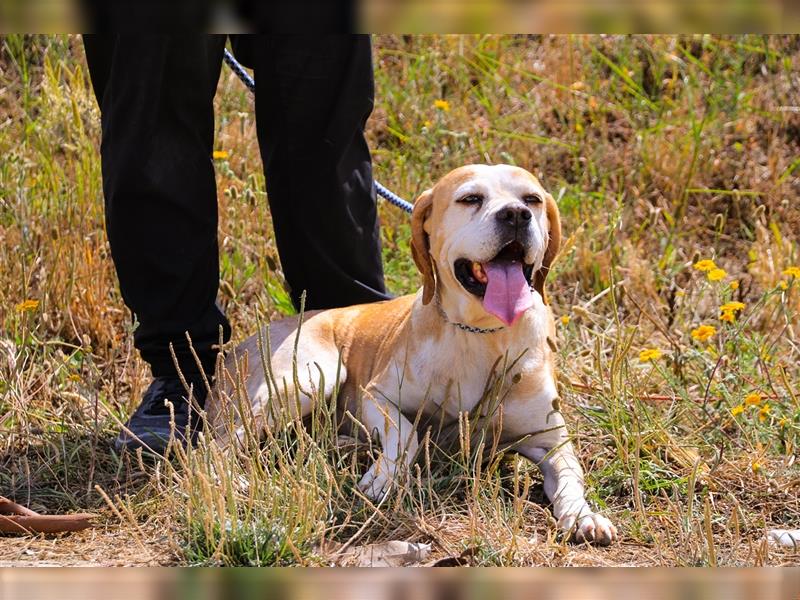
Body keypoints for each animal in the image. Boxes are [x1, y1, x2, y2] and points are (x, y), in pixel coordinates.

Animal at [208, 163, 620, 544]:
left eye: (532, 199)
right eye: (471, 198)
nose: (517, 214)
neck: (481, 332)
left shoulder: (550, 440)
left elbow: (570, 477)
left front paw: (583, 515)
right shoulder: (376, 394)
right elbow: (407, 436)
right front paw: (380, 479)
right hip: (309, 378)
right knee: (214, 445)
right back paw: (231, 480)